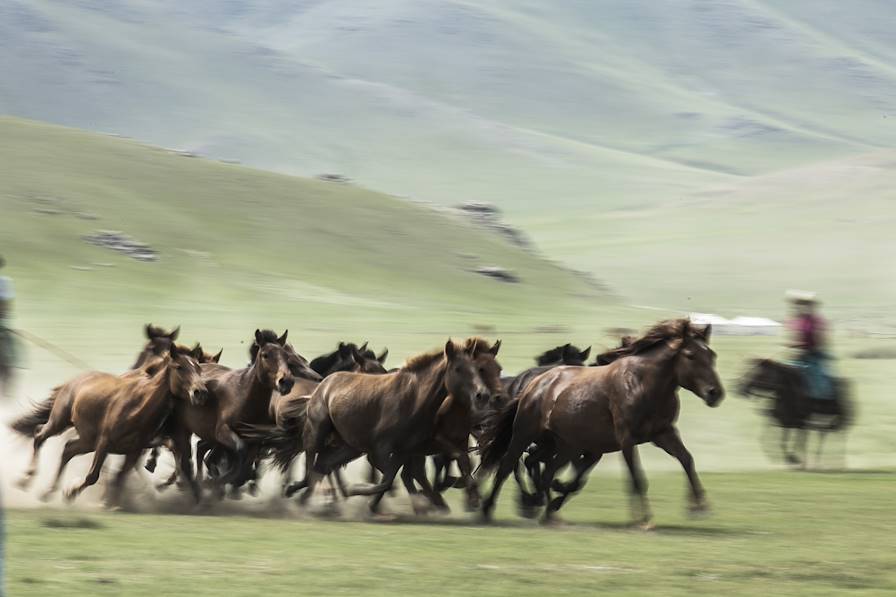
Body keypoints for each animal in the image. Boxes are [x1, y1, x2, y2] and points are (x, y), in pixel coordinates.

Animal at [11, 344, 208, 502]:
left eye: (199, 368)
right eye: (179, 367)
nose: (200, 392)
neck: (138, 408)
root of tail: (71, 381)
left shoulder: (134, 451)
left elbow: (120, 478)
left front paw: (110, 502)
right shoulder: (104, 442)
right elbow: (93, 475)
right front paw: (72, 492)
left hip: (87, 441)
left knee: (67, 449)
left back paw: (48, 491)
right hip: (60, 421)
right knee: (39, 435)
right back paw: (25, 479)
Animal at [298, 336, 500, 512]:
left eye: (478, 369)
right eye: (458, 369)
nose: (483, 395)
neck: (413, 400)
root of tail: (325, 383)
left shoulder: (406, 450)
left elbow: (391, 479)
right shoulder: (381, 449)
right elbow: (391, 479)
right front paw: (358, 491)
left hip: (349, 445)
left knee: (324, 465)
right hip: (317, 433)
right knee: (311, 466)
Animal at [480, 322, 724, 528]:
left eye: (712, 355)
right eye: (691, 355)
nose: (716, 393)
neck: (643, 384)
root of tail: (533, 386)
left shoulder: (663, 433)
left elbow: (687, 460)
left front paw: (699, 507)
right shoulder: (626, 439)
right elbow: (637, 478)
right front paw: (644, 520)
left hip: (564, 445)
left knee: (543, 469)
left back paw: (549, 513)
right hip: (524, 434)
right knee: (507, 467)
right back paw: (489, 509)